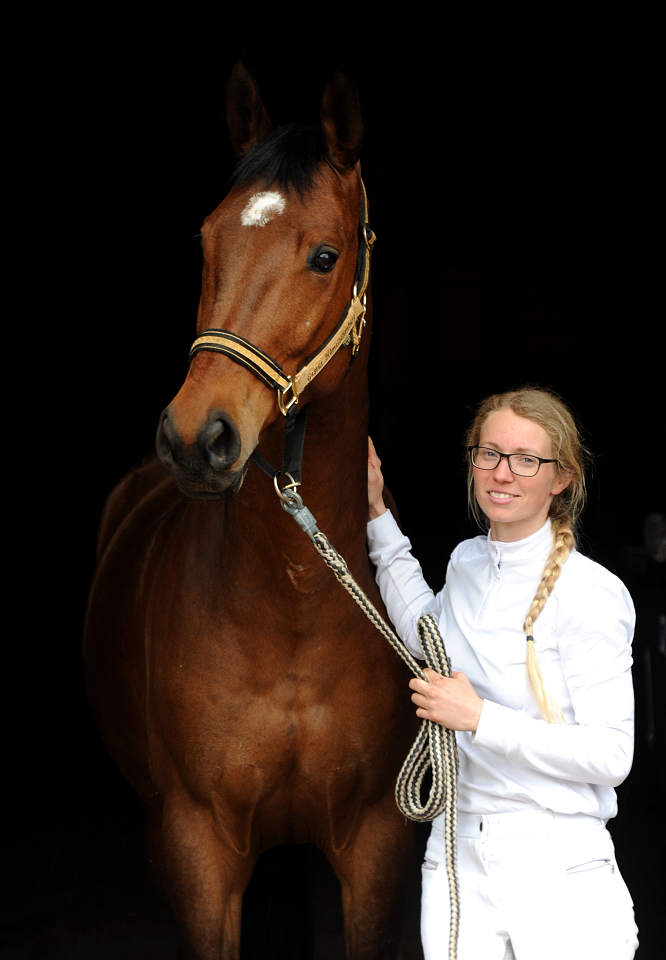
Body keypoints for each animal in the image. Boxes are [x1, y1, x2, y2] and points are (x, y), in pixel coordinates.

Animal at [83, 63, 416, 956]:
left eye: (325, 256)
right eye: (206, 242)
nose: (196, 439)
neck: (293, 608)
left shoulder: (375, 849)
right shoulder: (197, 852)